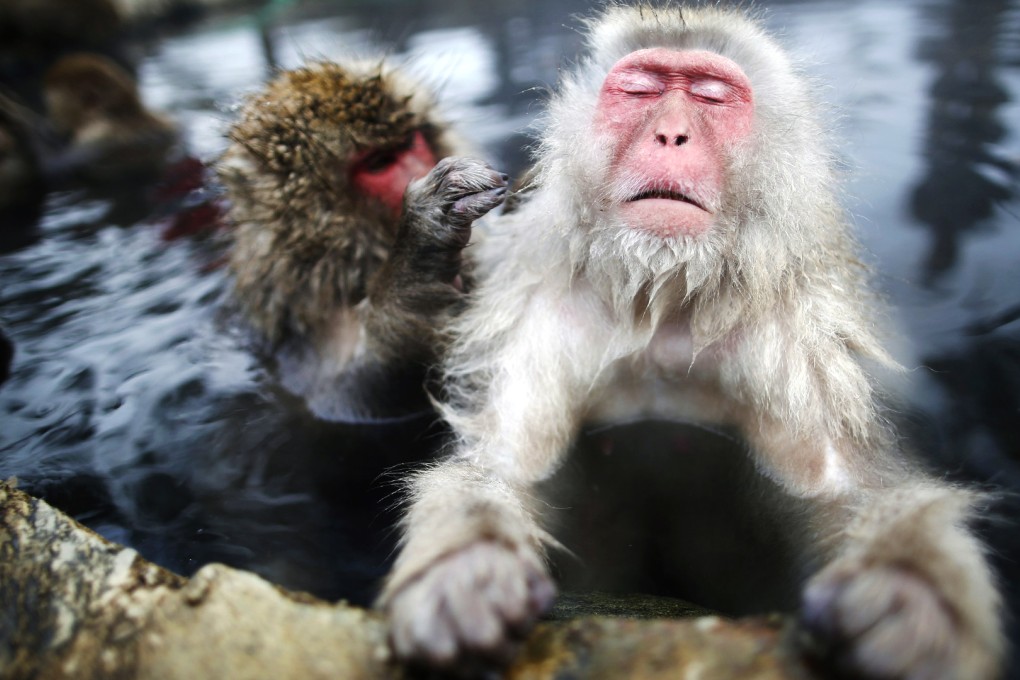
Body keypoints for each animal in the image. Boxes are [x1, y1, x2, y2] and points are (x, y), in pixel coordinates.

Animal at [217, 60, 506, 421]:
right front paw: (418, 253)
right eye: (379, 164)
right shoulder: (297, 336)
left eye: (410, 142)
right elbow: (348, 397)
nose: (423, 167)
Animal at [378, 5, 1005, 679]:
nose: (671, 135)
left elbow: (842, 488)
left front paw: (914, 596)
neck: (664, 297)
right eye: (641, 90)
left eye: (711, 95)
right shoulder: (540, 321)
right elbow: (504, 464)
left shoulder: (797, 347)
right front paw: (465, 569)